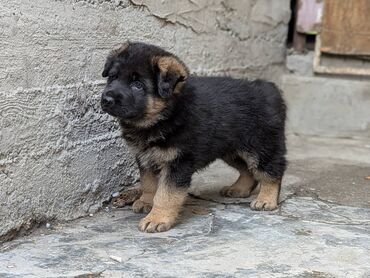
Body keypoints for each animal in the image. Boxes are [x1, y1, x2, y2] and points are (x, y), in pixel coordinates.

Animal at [100, 41, 286, 232]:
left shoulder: (178, 162)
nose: (106, 99)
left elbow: (166, 193)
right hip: (231, 150)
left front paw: (157, 217)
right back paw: (239, 189)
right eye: (112, 77)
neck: (165, 115)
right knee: (248, 170)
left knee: (273, 169)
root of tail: (270, 90)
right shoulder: (145, 157)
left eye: (137, 84)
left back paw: (266, 199)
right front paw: (146, 201)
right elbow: (148, 182)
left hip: (261, 146)